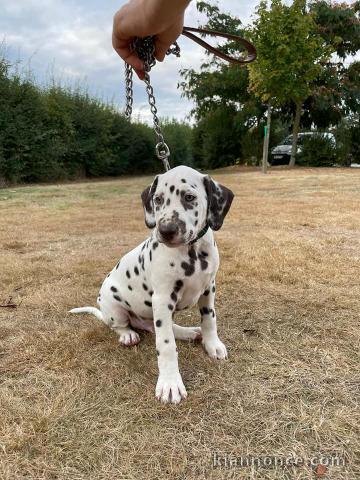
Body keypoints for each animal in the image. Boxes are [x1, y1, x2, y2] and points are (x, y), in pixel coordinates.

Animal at [70, 166, 233, 404]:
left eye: (189, 197)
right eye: (158, 199)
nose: (166, 230)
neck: (191, 252)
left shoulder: (208, 289)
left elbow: (209, 320)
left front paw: (212, 344)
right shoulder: (163, 299)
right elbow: (166, 345)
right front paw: (170, 383)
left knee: (159, 327)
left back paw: (188, 332)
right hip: (113, 305)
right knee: (122, 326)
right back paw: (128, 335)